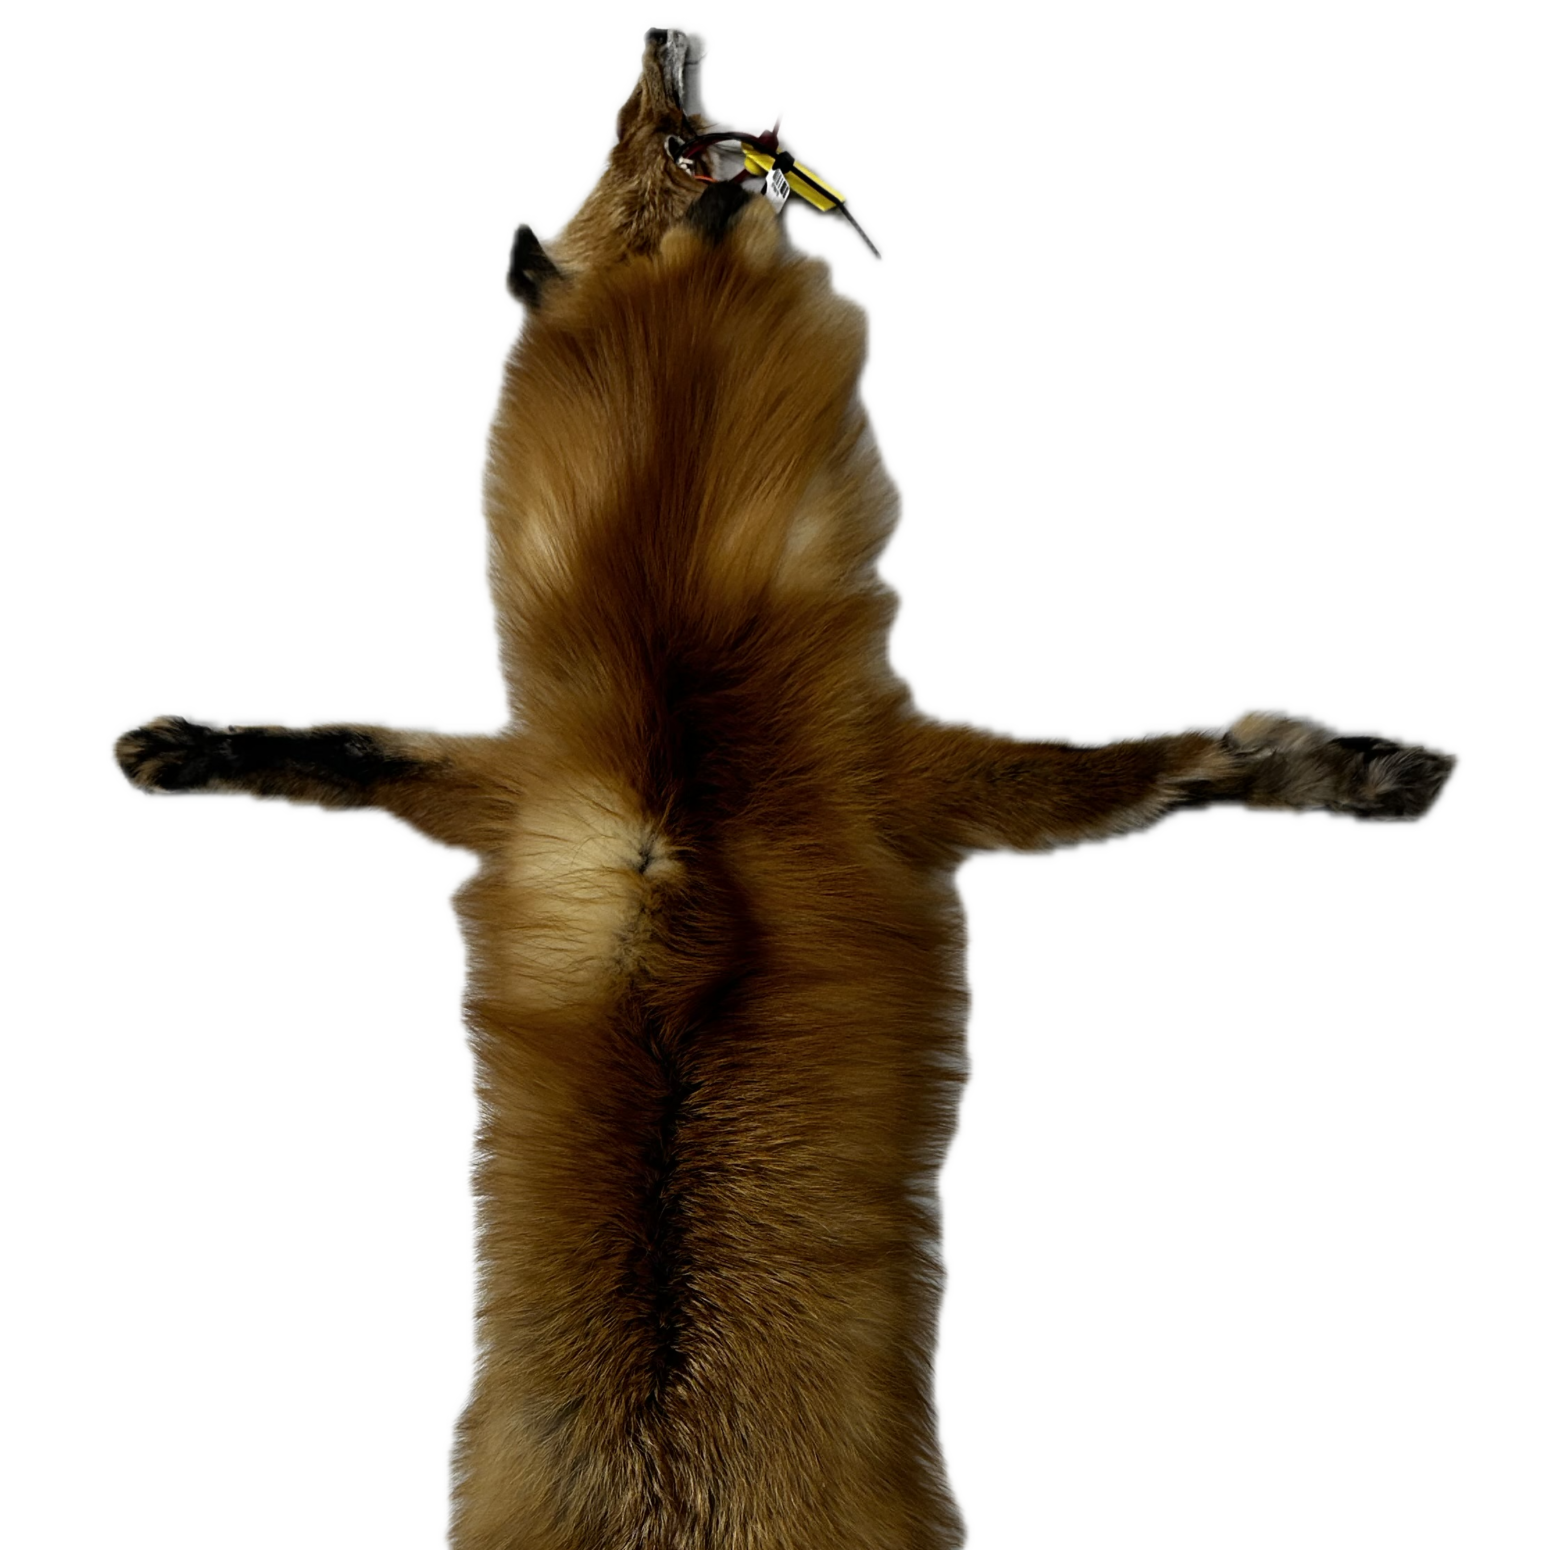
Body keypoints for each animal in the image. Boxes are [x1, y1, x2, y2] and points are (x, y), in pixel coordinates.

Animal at [107, 19, 1463, 1549]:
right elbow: (1179, 762)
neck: (677, 684)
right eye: (624, 144)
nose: (656, 30)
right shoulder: (881, 780)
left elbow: (353, 747)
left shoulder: (536, 781)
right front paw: (1356, 770)